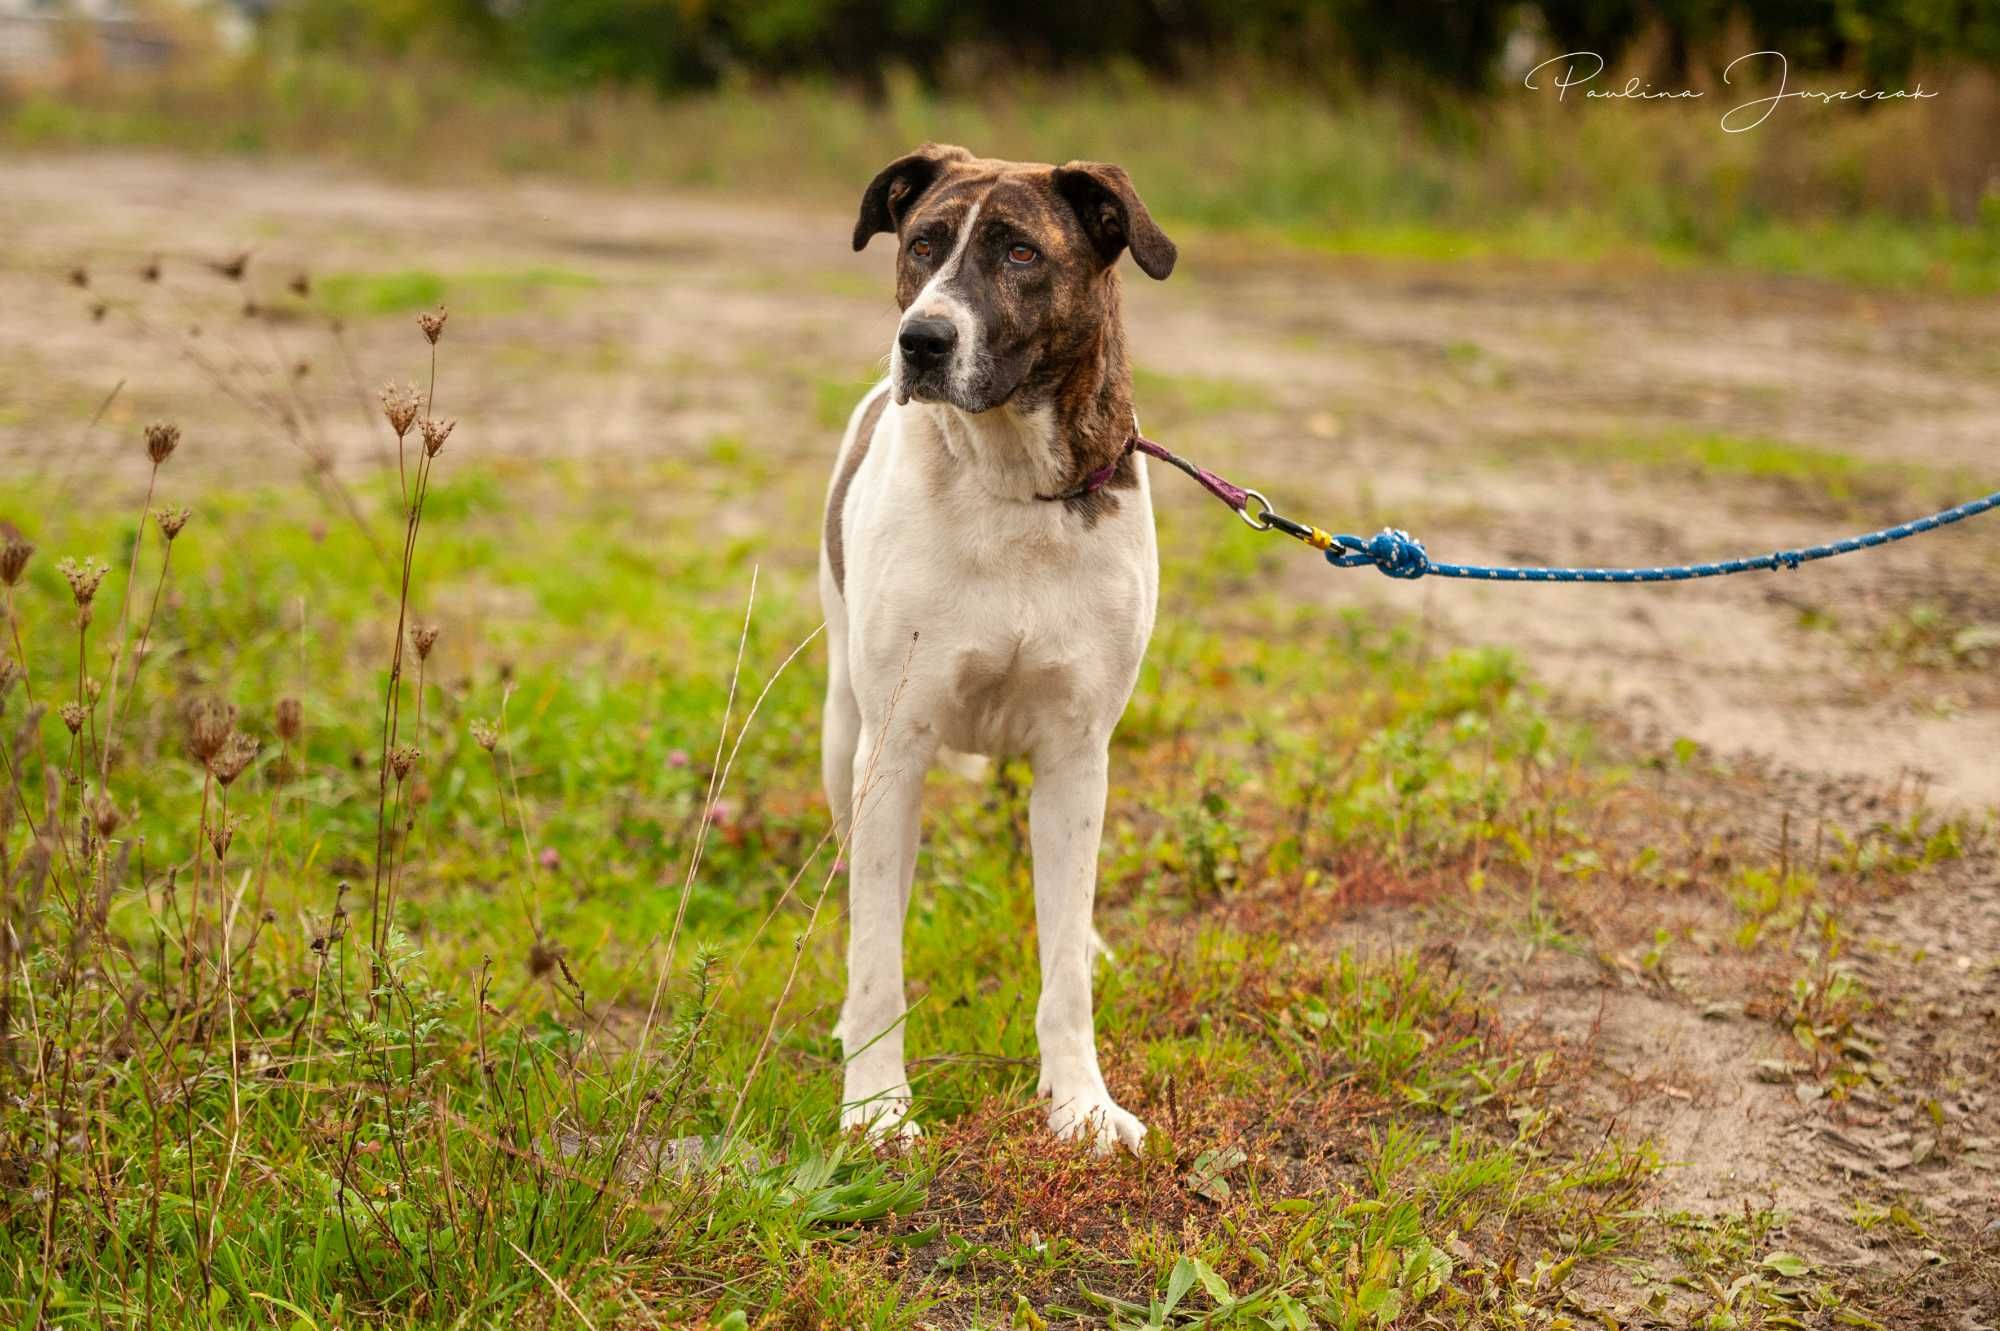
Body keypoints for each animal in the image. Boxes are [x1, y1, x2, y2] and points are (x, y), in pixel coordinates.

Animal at [820, 139, 1176, 1143]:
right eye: (922, 242)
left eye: (1021, 253)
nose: (921, 340)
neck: (1011, 481)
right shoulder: (894, 745)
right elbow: (876, 955)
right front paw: (876, 1105)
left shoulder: (1077, 752)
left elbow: (1063, 974)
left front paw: (1082, 1104)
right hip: (843, 726)